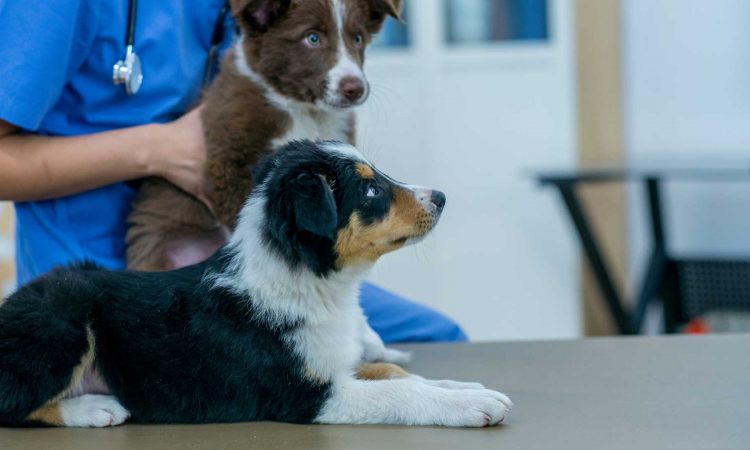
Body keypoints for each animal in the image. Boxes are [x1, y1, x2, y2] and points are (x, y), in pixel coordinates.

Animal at [0, 142, 512, 428]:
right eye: (370, 190)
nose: (440, 197)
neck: (316, 283)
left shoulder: (333, 364)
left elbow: (394, 371)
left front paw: (464, 386)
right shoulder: (303, 394)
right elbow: (398, 392)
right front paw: (474, 405)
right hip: (62, 322)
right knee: (13, 401)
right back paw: (94, 409)